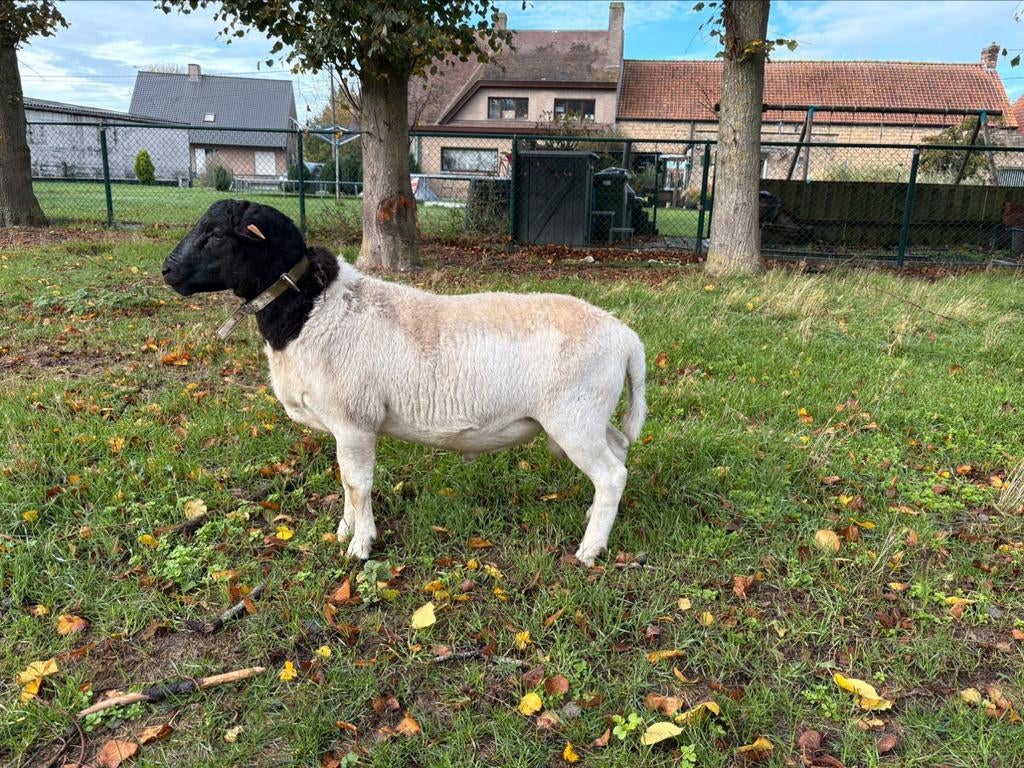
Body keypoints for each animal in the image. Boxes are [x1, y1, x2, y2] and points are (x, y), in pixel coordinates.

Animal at [162, 200, 647, 565]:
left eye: (217, 235)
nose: (167, 271)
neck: (309, 311)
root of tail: (626, 338)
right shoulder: (343, 427)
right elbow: (345, 482)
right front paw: (344, 531)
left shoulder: (354, 421)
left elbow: (357, 484)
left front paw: (360, 546)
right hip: (590, 415)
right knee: (620, 450)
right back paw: (594, 517)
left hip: (574, 418)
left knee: (611, 474)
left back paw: (590, 549)